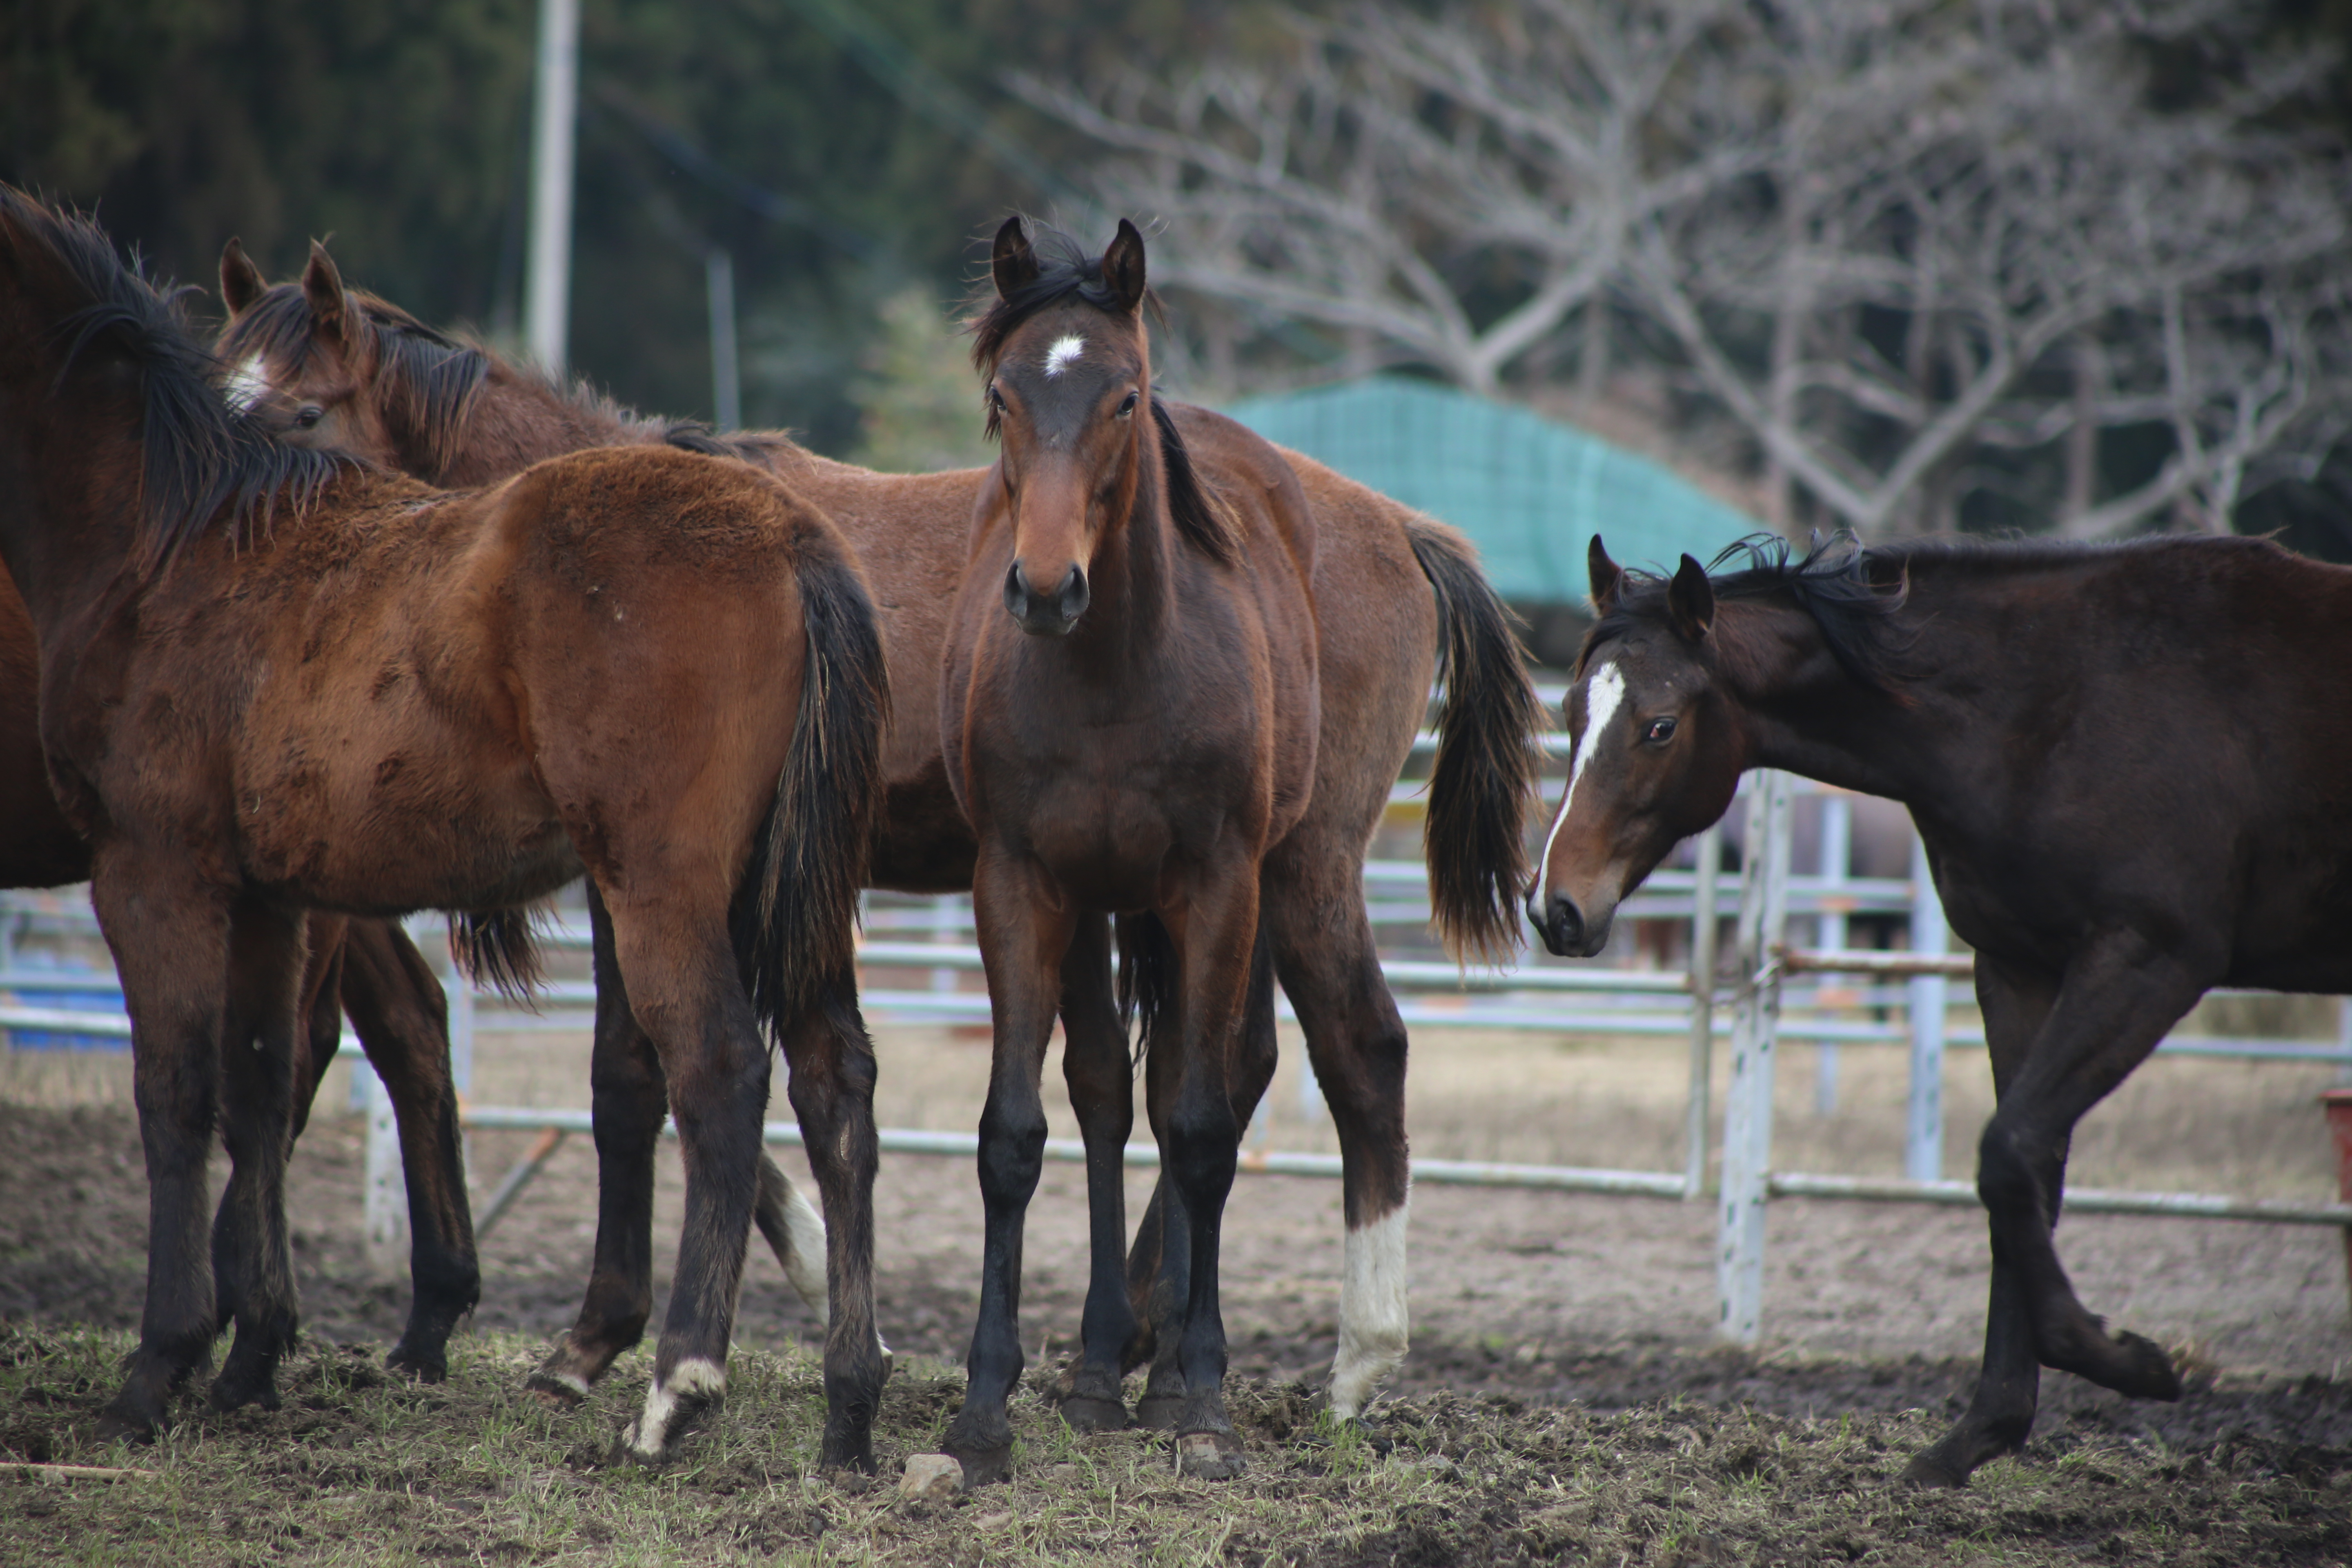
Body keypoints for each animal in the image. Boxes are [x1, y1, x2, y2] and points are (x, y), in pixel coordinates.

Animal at [0, 187, 889, 1476]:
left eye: (308, 406)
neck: (166, 542)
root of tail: (791, 534)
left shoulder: (153, 873)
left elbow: (174, 1094)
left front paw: (158, 1367)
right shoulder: (268, 897)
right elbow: (257, 1086)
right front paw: (249, 1359)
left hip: (664, 892)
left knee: (719, 1072)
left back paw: (677, 1382)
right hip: (783, 904)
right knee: (833, 1081)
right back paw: (848, 1402)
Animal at [216, 236, 1543, 1439]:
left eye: (304, 406)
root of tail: (1394, 525)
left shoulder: (640, 874)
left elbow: (634, 1075)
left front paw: (603, 1337)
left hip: (1296, 865)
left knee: (1356, 1052)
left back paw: (1349, 1358)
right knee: (1227, 1065)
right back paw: (1137, 1342)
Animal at [1533, 533, 2352, 1495]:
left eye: (1659, 726)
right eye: (1569, 709)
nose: (1555, 908)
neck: (2044, 706)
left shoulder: (2148, 958)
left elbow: (2009, 1153)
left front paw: (2127, 1358)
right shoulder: (2018, 970)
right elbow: (2023, 1176)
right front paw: (1979, 1434)